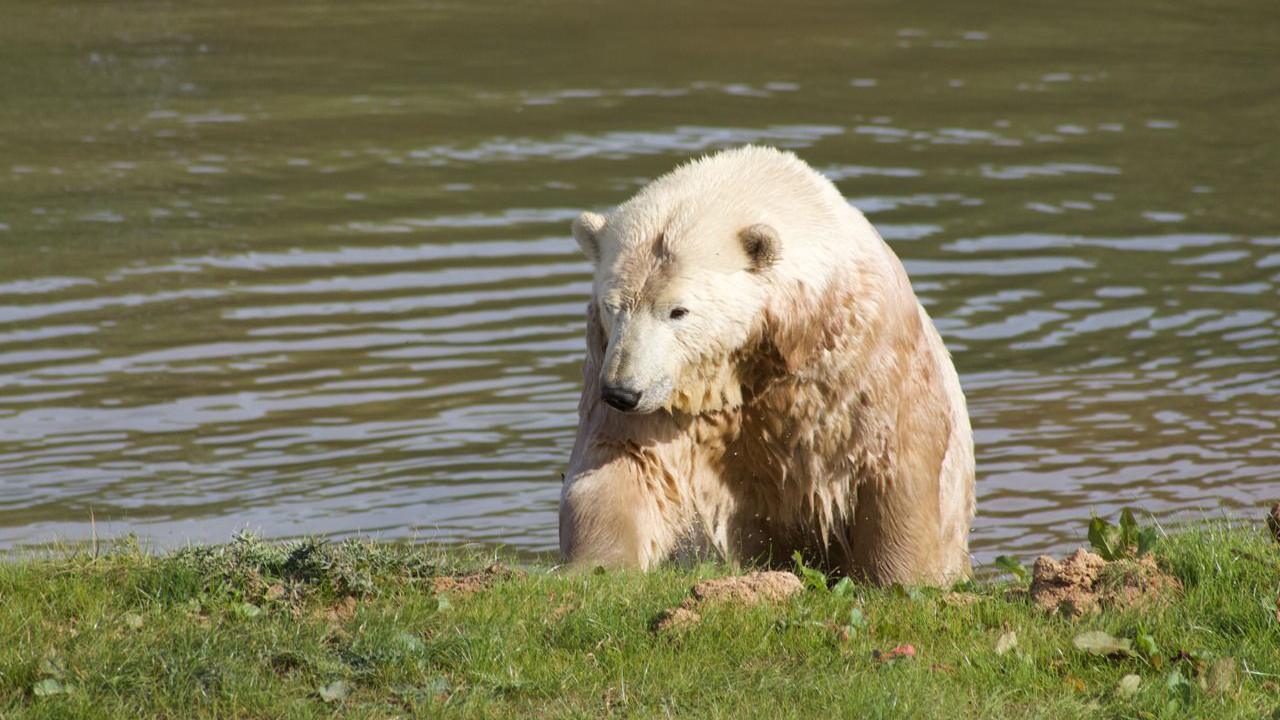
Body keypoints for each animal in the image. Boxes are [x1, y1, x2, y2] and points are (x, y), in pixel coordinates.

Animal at [555, 146, 972, 584]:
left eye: (677, 311)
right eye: (612, 305)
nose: (622, 392)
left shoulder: (861, 356)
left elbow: (893, 461)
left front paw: (900, 577)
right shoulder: (649, 383)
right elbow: (624, 463)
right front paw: (596, 567)